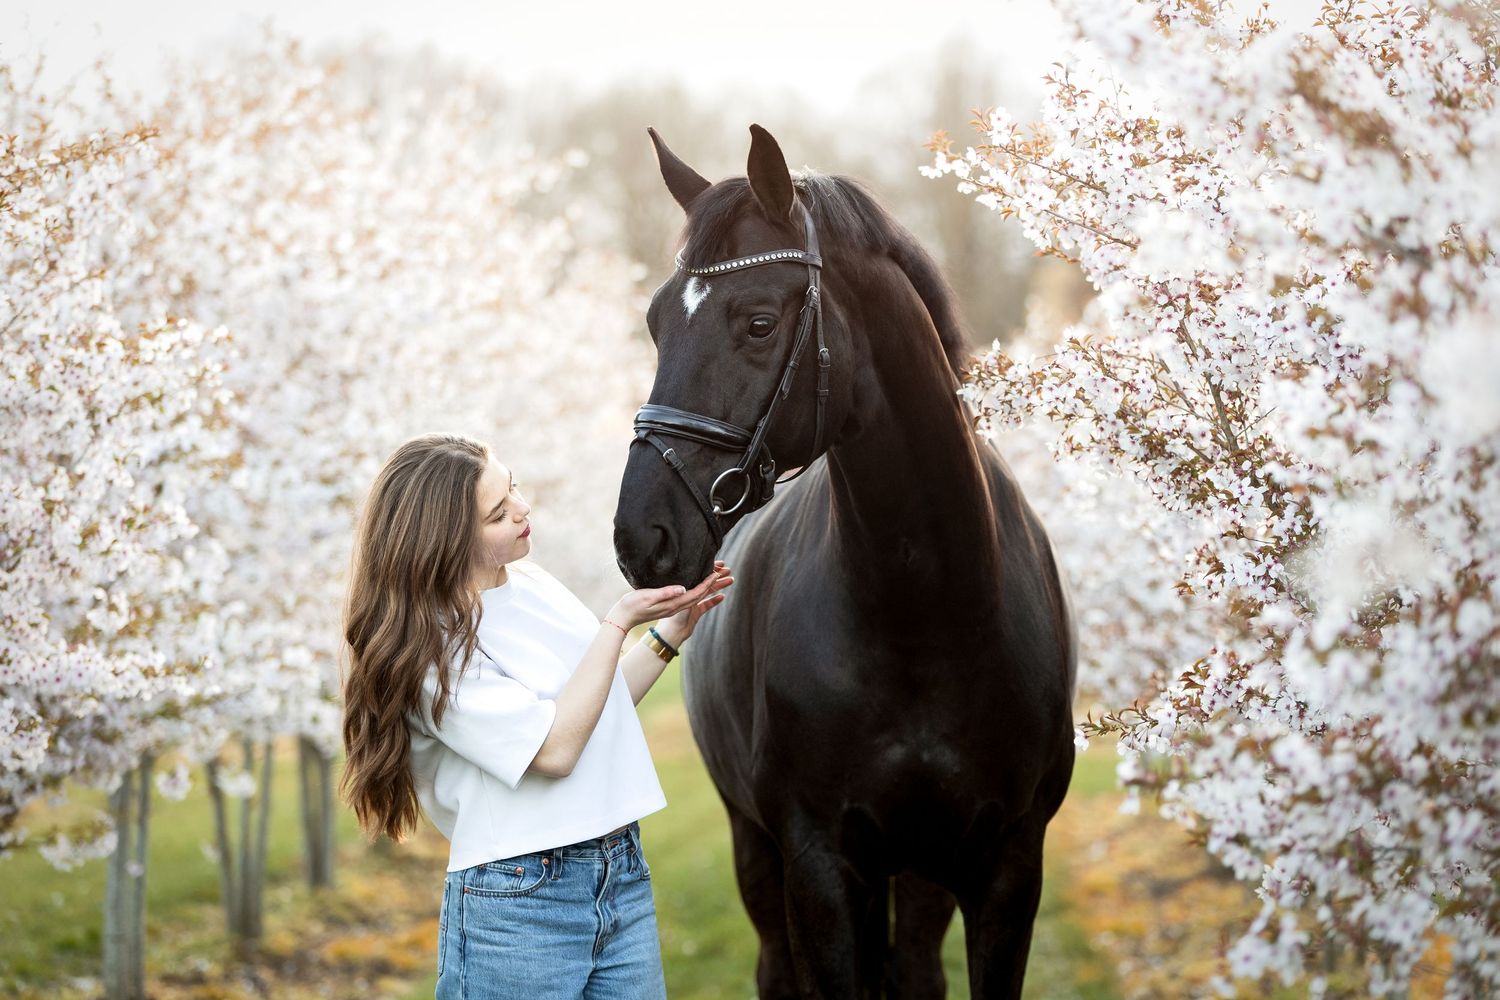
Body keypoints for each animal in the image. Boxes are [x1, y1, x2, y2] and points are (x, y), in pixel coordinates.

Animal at [613, 123, 1077, 999]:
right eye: (656, 324)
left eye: (760, 323)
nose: (640, 537)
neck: (928, 612)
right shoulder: (820, 865)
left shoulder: (1007, 868)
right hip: (759, 852)